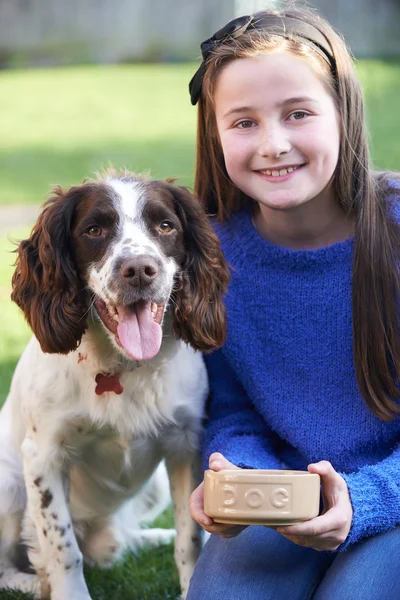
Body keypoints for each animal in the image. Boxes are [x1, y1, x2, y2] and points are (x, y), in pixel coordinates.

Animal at [0, 170, 230, 600]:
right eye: (94, 230)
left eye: (165, 226)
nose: (139, 269)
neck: (124, 365)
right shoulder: (44, 455)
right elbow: (63, 548)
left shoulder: (185, 445)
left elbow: (190, 538)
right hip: (8, 486)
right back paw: (32, 582)